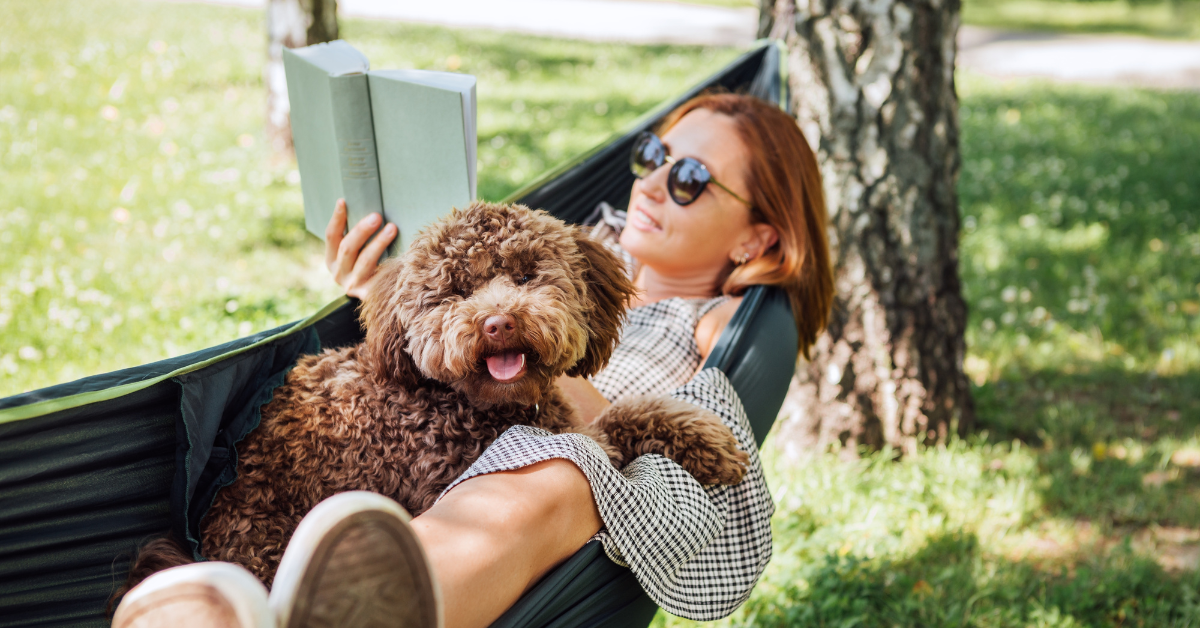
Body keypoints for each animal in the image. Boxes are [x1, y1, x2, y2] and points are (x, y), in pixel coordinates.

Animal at [126, 202, 744, 590]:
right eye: (455, 291)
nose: (497, 322)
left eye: (527, 275)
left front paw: (702, 437)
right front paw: (707, 439)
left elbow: (624, 415)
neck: (463, 403)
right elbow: (614, 427)